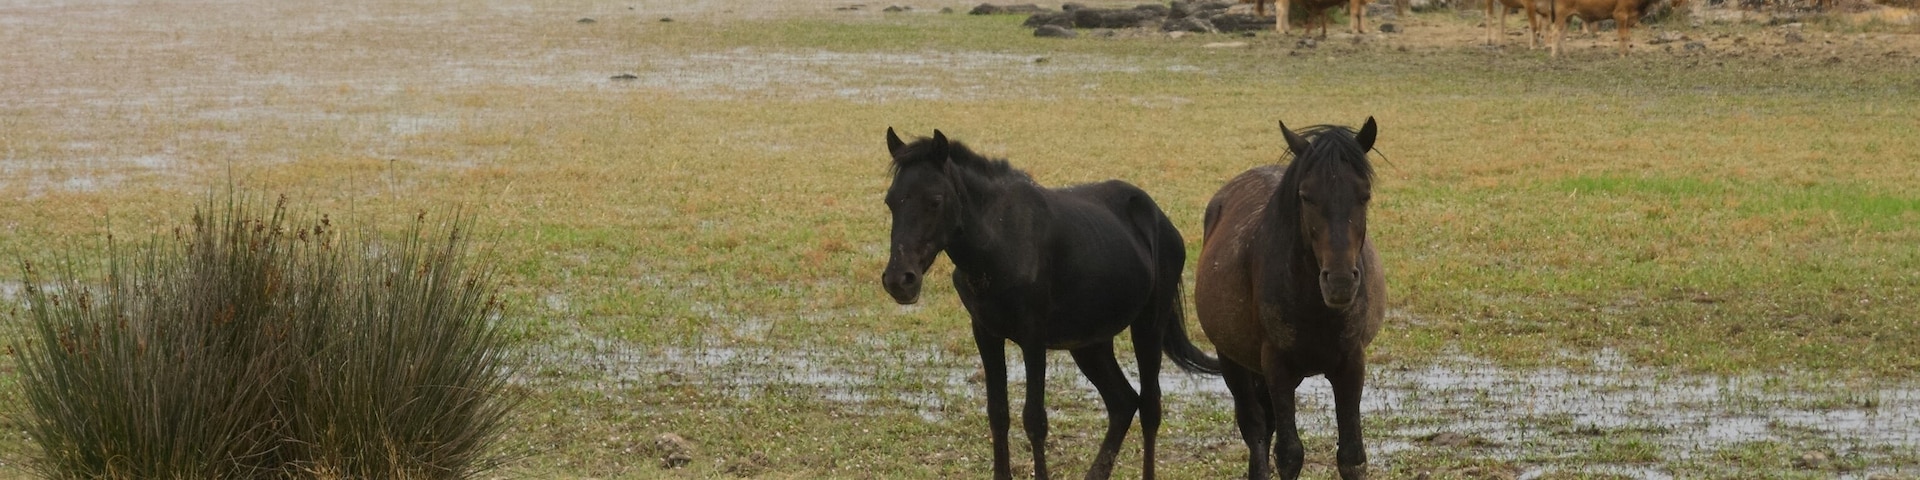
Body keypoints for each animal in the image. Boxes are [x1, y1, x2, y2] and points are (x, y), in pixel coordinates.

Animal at [879, 128, 1221, 480]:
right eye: (891, 201)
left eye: (935, 201)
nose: (899, 280)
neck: (1000, 239)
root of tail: (1161, 221)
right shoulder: (986, 334)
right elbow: (998, 414)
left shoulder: (1033, 338)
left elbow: (1035, 420)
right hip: (1091, 343)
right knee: (1123, 402)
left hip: (1148, 326)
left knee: (1150, 407)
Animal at [1194, 119, 1387, 480]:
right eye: (1306, 196)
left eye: (1364, 194)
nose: (1340, 281)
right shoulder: (1277, 365)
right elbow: (1289, 454)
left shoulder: (1352, 362)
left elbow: (1352, 456)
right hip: (1233, 360)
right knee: (1255, 426)